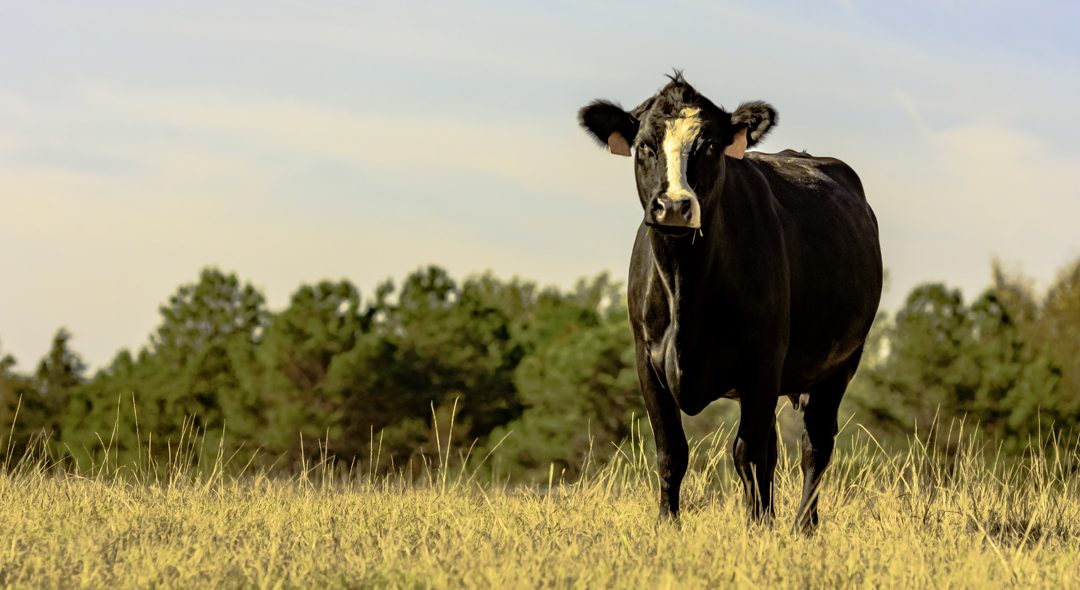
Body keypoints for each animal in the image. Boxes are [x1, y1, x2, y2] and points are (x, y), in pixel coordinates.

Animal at [578, 73, 881, 527]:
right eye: (645, 146)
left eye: (708, 145)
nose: (674, 205)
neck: (685, 286)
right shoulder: (646, 361)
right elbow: (672, 451)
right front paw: (668, 524)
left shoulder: (763, 359)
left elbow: (748, 454)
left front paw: (755, 528)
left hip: (840, 364)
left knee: (814, 446)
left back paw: (802, 525)